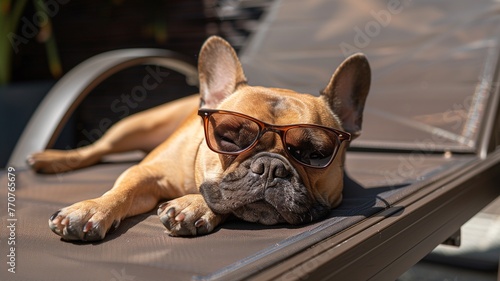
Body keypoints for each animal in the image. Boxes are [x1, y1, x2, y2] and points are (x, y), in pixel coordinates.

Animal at [28, 35, 372, 241]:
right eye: (228, 138)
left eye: (315, 154)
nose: (271, 168)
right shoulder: (146, 171)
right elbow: (122, 190)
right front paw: (92, 208)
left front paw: (194, 206)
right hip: (136, 125)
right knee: (99, 148)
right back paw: (52, 159)